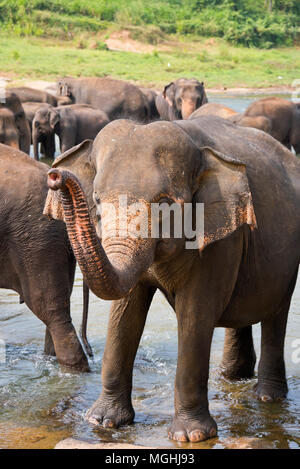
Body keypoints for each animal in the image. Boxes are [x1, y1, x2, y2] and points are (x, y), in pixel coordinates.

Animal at [45, 115, 300, 440]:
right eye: (97, 202)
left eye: (165, 203)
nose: (55, 175)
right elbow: (125, 314)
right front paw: (101, 421)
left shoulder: (219, 239)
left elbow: (196, 314)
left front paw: (191, 435)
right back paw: (231, 378)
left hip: (288, 258)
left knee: (275, 314)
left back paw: (267, 397)